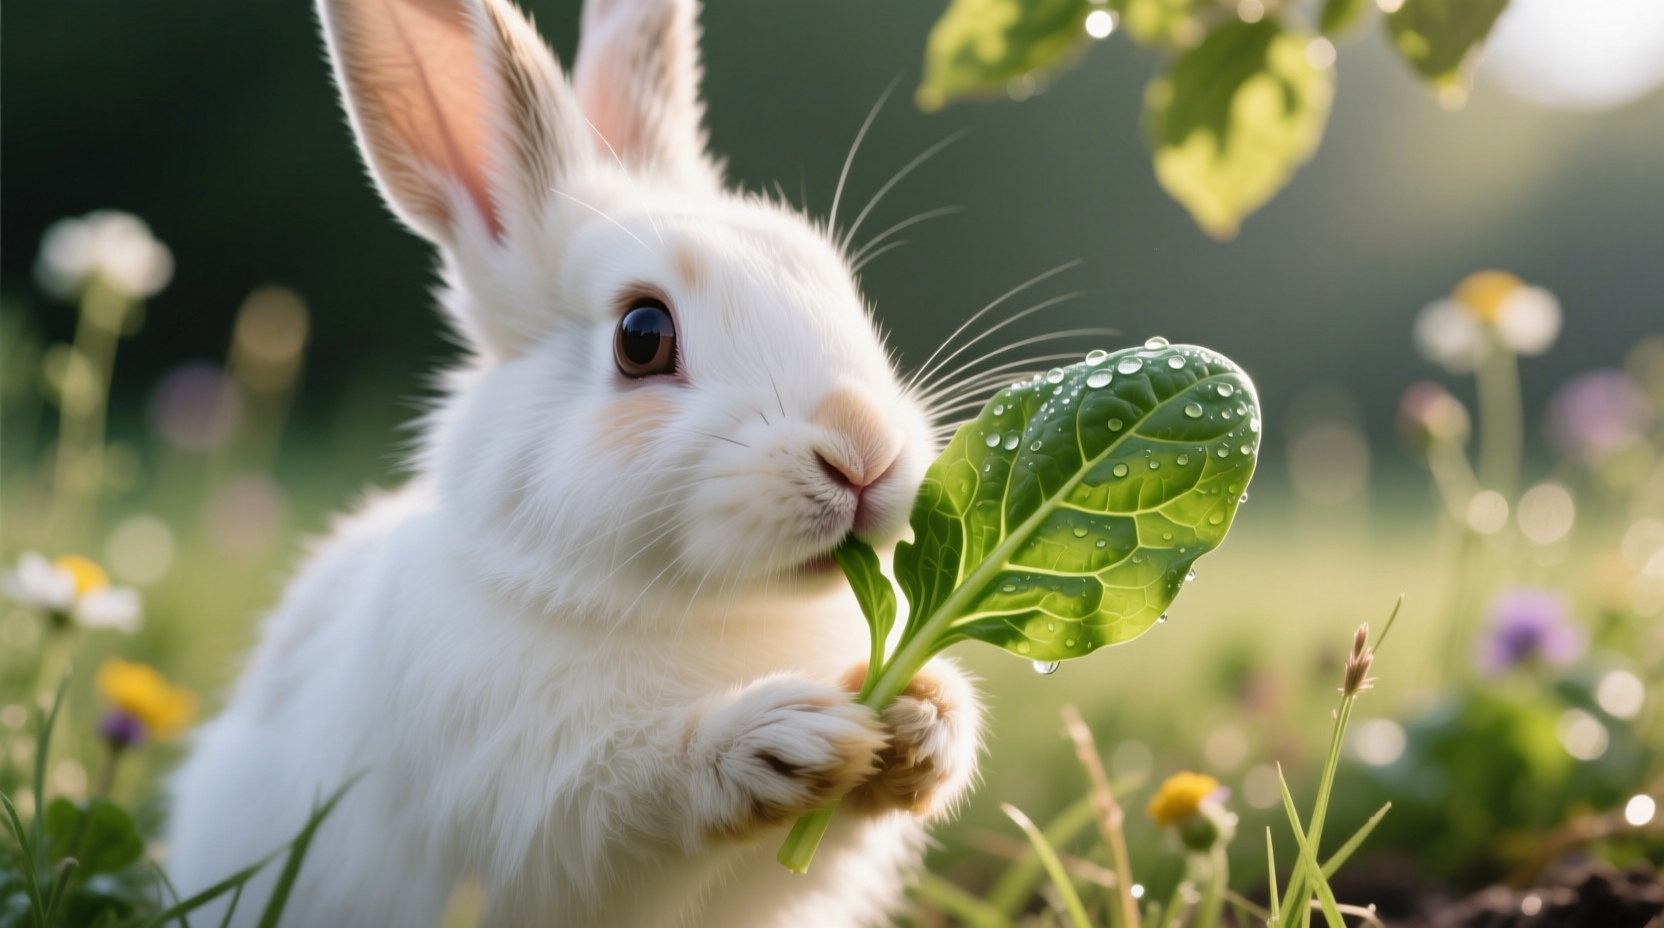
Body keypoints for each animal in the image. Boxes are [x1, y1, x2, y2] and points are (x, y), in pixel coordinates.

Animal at [164, 0, 985, 924]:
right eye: (641, 336)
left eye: (835, 283)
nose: (864, 452)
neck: (695, 613)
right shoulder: (518, 798)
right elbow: (620, 802)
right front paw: (781, 739)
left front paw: (926, 720)